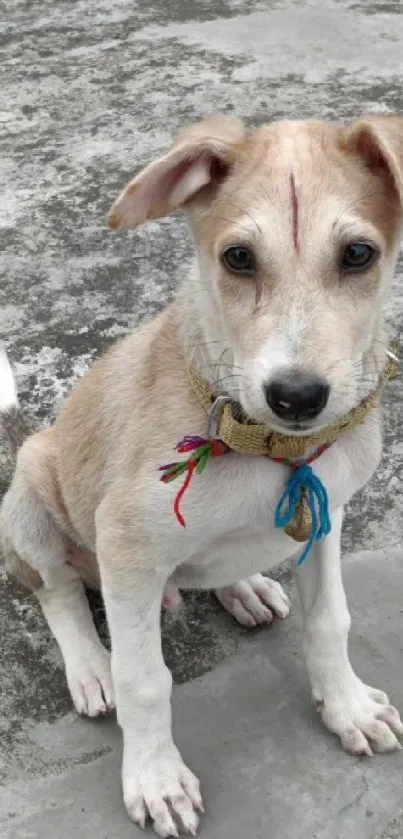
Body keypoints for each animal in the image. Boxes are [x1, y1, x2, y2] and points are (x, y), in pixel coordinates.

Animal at [0, 115, 403, 836]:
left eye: (358, 254)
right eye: (237, 258)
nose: (296, 396)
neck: (272, 450)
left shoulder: (326, 513)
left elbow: (330, 619)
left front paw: (347, 706)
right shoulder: (127, 544)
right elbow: (145, 681)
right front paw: (155, 778)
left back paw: (243, 586)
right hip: (30, 501)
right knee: (56, 590)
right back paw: (90, 665)